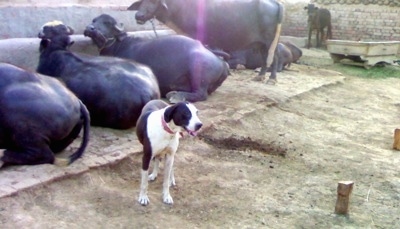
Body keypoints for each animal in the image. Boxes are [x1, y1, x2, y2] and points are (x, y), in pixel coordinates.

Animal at [129, 0, 284, 84]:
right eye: (142, 1)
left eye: (154, 1)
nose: (139, 16)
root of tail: (275, 2)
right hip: (261, 43)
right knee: (265, 57)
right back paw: (260, 76)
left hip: (270, 41)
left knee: (274, 57)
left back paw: (272, 79)